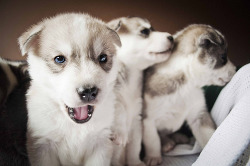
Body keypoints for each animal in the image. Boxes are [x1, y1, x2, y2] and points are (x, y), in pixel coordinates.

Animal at [18, 12, 121, 165]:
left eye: (103, 58)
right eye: (59, 59)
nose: (88, 91)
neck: (76, 127)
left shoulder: (101, 142)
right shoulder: (42, 144)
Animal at [107, 16, 174, 166]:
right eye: (145, 31)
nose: (172, 37)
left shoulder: (137, 121)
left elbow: (134, 148)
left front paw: (136, 163)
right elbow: (119, 109)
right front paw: (120, 133)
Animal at [143, 24, 236, 165]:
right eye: (223, 57)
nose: (236, 69)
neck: (186, 84)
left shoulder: (199, 116)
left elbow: (208, 137)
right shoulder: (148, 120)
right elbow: (153, 139)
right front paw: (153, 157)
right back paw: (167, 143)